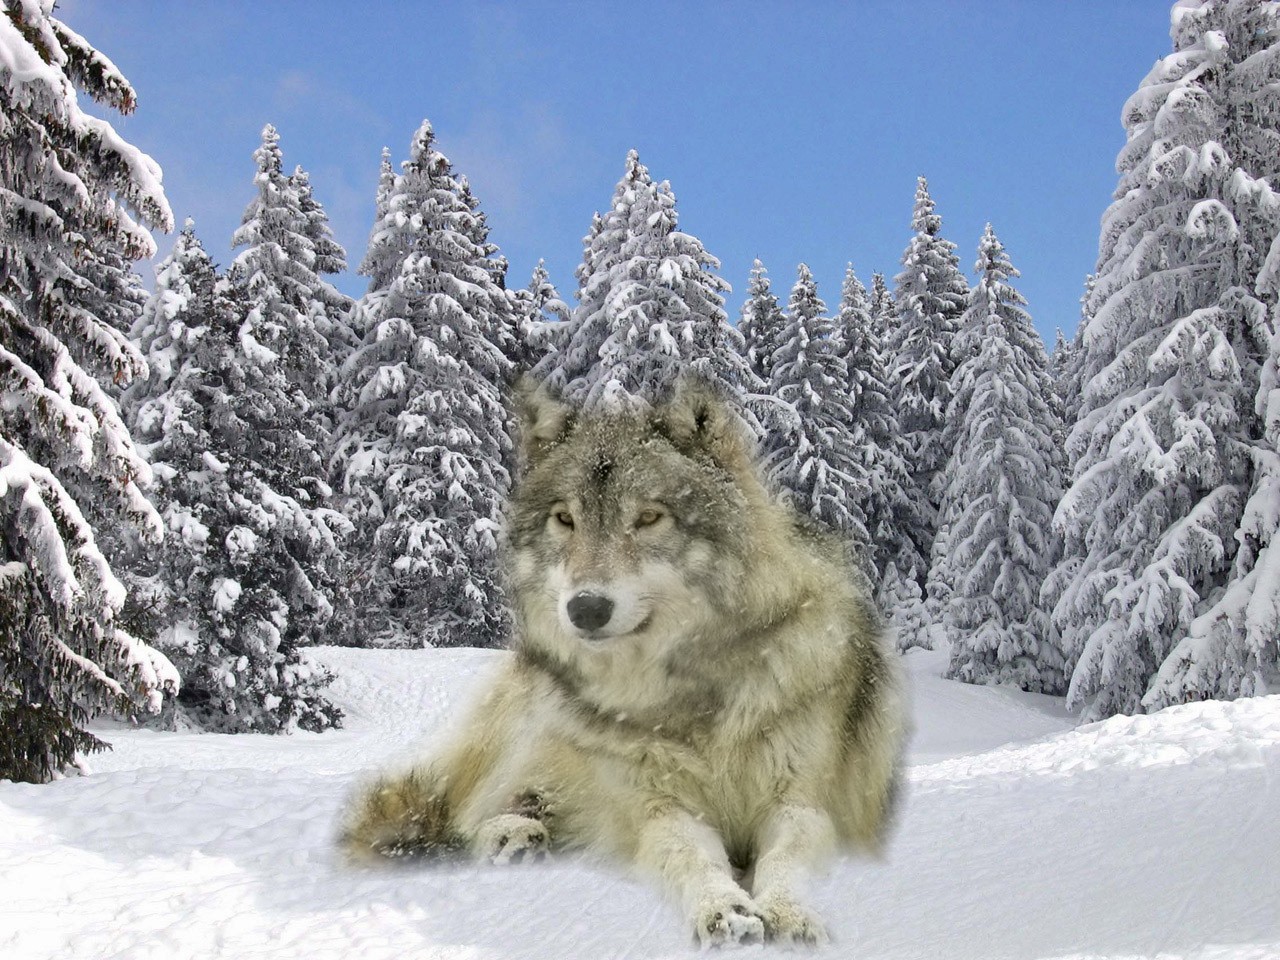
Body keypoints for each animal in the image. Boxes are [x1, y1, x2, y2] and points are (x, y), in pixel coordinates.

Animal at [337, 376, 901, 947]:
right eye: (565, 519)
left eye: (649, 517)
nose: (585, 608)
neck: (693, 691)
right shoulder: (657, 806)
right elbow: (688, 854)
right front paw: (724, 909)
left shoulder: (803, 803)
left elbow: (787, 858)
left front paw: (787, 912)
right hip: (531, 727)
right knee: (463, 813)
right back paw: (510, 836)